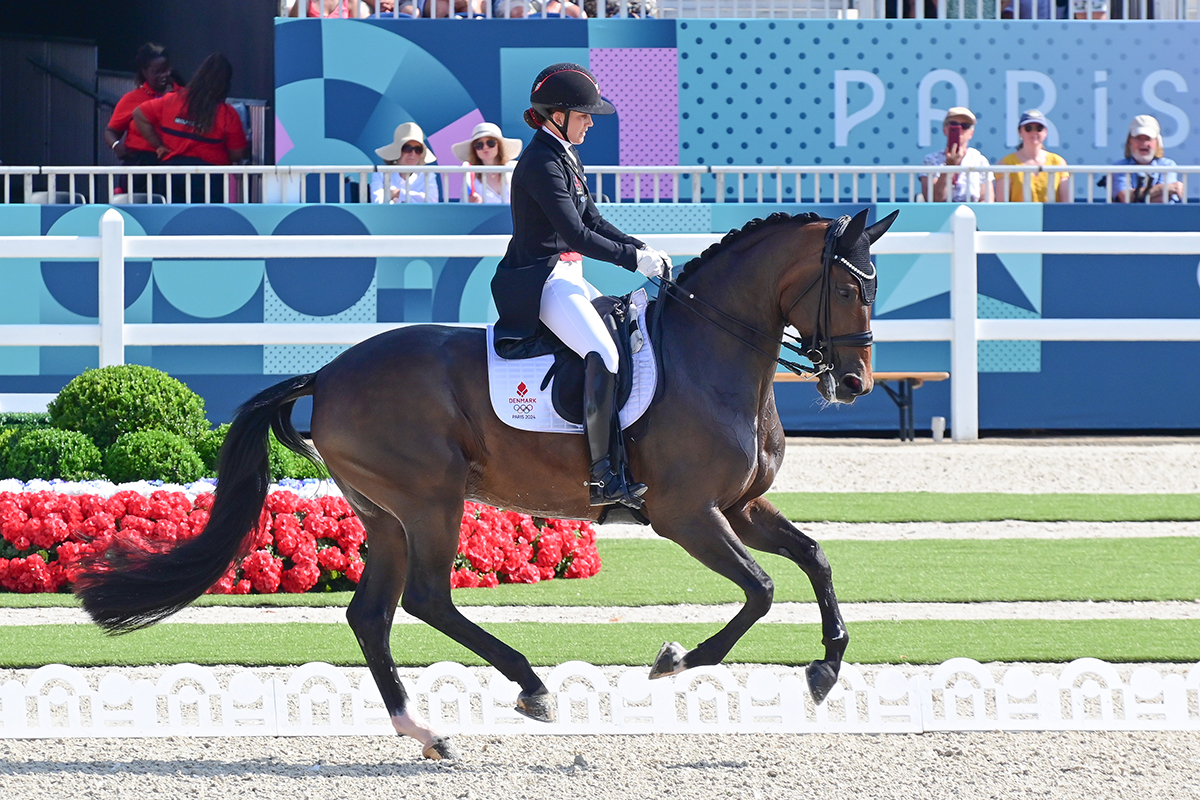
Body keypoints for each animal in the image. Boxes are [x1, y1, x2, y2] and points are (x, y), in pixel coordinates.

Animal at [75, 206, 902, 758]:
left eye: (875, 285)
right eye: (849, 289)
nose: (854, 384)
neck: (712, 352)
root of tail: (330, 372)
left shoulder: (741, 505)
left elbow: (815, 559)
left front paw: (825, 669)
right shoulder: (688, 513)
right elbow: (761, 588)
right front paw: (675, 661)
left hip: (386, 516)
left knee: (372, 614)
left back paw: (425, 731)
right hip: (430, 501)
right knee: (426, 600)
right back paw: (529, 687)